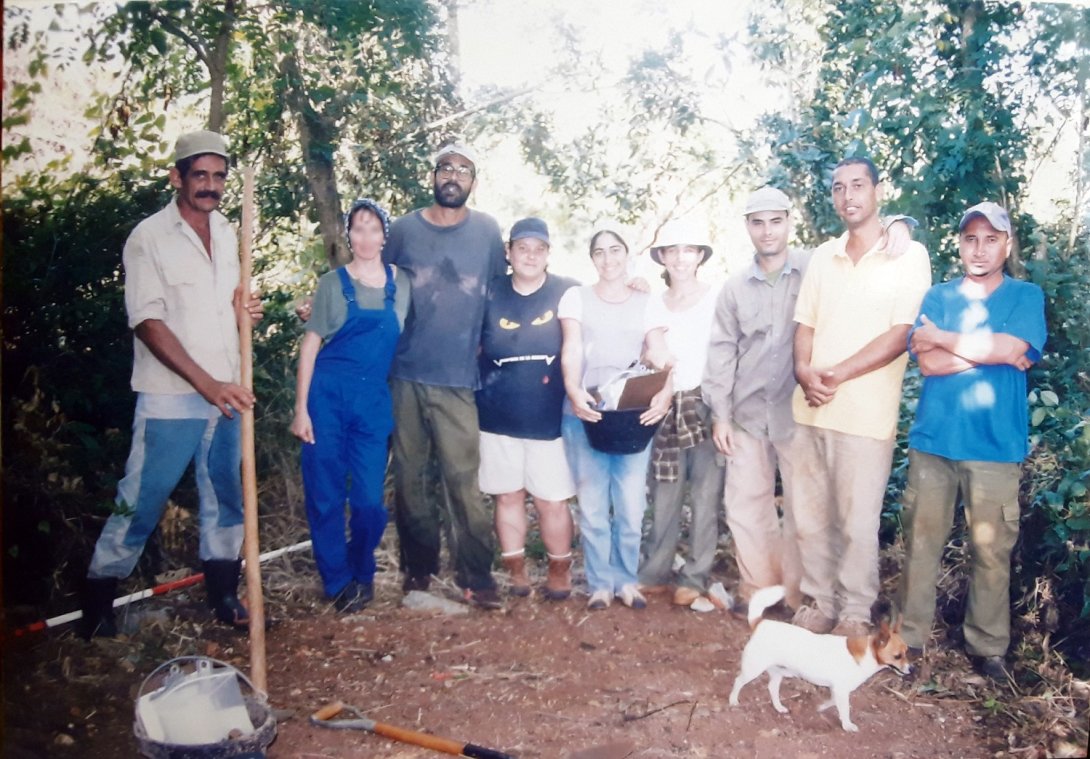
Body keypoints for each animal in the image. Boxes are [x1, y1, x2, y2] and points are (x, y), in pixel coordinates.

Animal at [732, 584, 911, 732]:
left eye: (907, 652)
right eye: (897, 656)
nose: (912, 669)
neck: (866, 653)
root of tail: (760, 623)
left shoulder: (837, 689)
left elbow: (833, 701)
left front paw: (822, 707)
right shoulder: (841, 689)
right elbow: (844, 708)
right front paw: (847, 725)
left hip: (778, 672)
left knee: (772, 688)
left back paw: (779, 707)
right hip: (753, 669)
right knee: (738, 681)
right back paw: (733, 701)